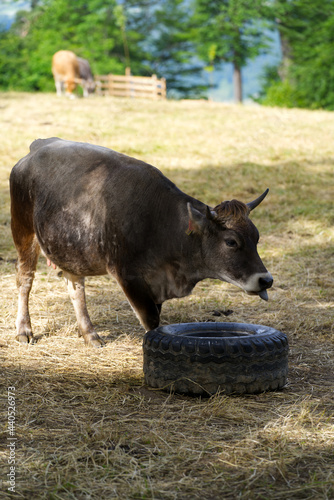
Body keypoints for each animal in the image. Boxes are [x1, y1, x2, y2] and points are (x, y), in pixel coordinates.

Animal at [10, 139, 272, 346]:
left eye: (257, 237)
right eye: (231, 242)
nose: (266, 280)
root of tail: (39, 146)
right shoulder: (128, 275)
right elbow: (151, 320)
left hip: (71, 249)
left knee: (75, 288)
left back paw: (90, 334)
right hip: (23, 231)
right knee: (25, 280)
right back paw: (24, 330)